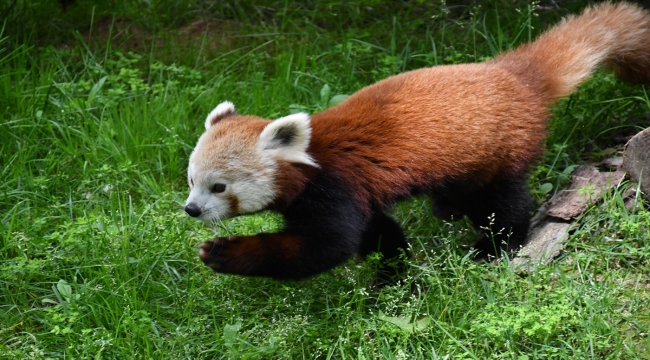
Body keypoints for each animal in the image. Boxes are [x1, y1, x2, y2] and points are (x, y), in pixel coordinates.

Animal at [184, 3, 650, 282]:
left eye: (218, 187)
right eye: (190, 180)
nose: (191, 210)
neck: (309, 164)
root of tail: (514, 74)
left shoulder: (334, 188)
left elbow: (324, 248)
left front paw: (225, 253)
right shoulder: (358, 194)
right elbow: (378, 232)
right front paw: (393, 271)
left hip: (500, 152)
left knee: (504, 205)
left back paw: (492, 247)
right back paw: (448, 211)